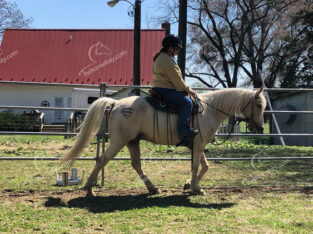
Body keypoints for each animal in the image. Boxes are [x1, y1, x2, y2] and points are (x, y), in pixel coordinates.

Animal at [61, 87, 266, 197]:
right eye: (258, 104)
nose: (260, 128)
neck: (210, 110)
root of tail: (116, 103)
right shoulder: (199, 144)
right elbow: (196, 166)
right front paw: (195, 188)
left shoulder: (197, 145)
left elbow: (204, 166)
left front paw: (189, 185)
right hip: (119, 141)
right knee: (102, 160)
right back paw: (89, 189)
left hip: (132, 141)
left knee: (136, 164)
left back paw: (153, 188)